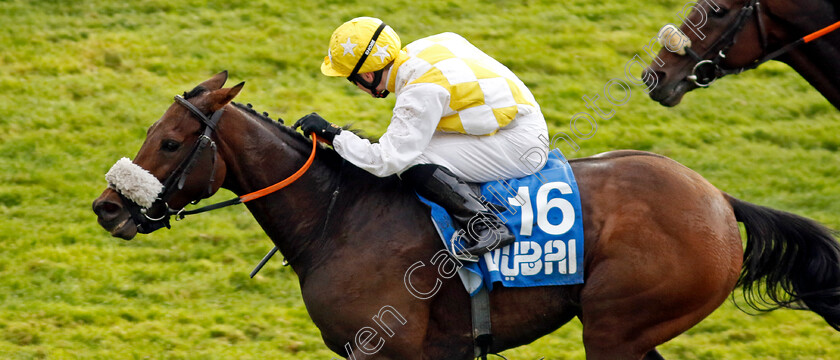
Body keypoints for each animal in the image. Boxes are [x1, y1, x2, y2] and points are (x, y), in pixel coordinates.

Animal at [92, 71, 840, 358]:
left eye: (170, 142)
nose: (106, 208)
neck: (341, 216)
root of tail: (717, 199)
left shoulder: (386, 347)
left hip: (615, 325)